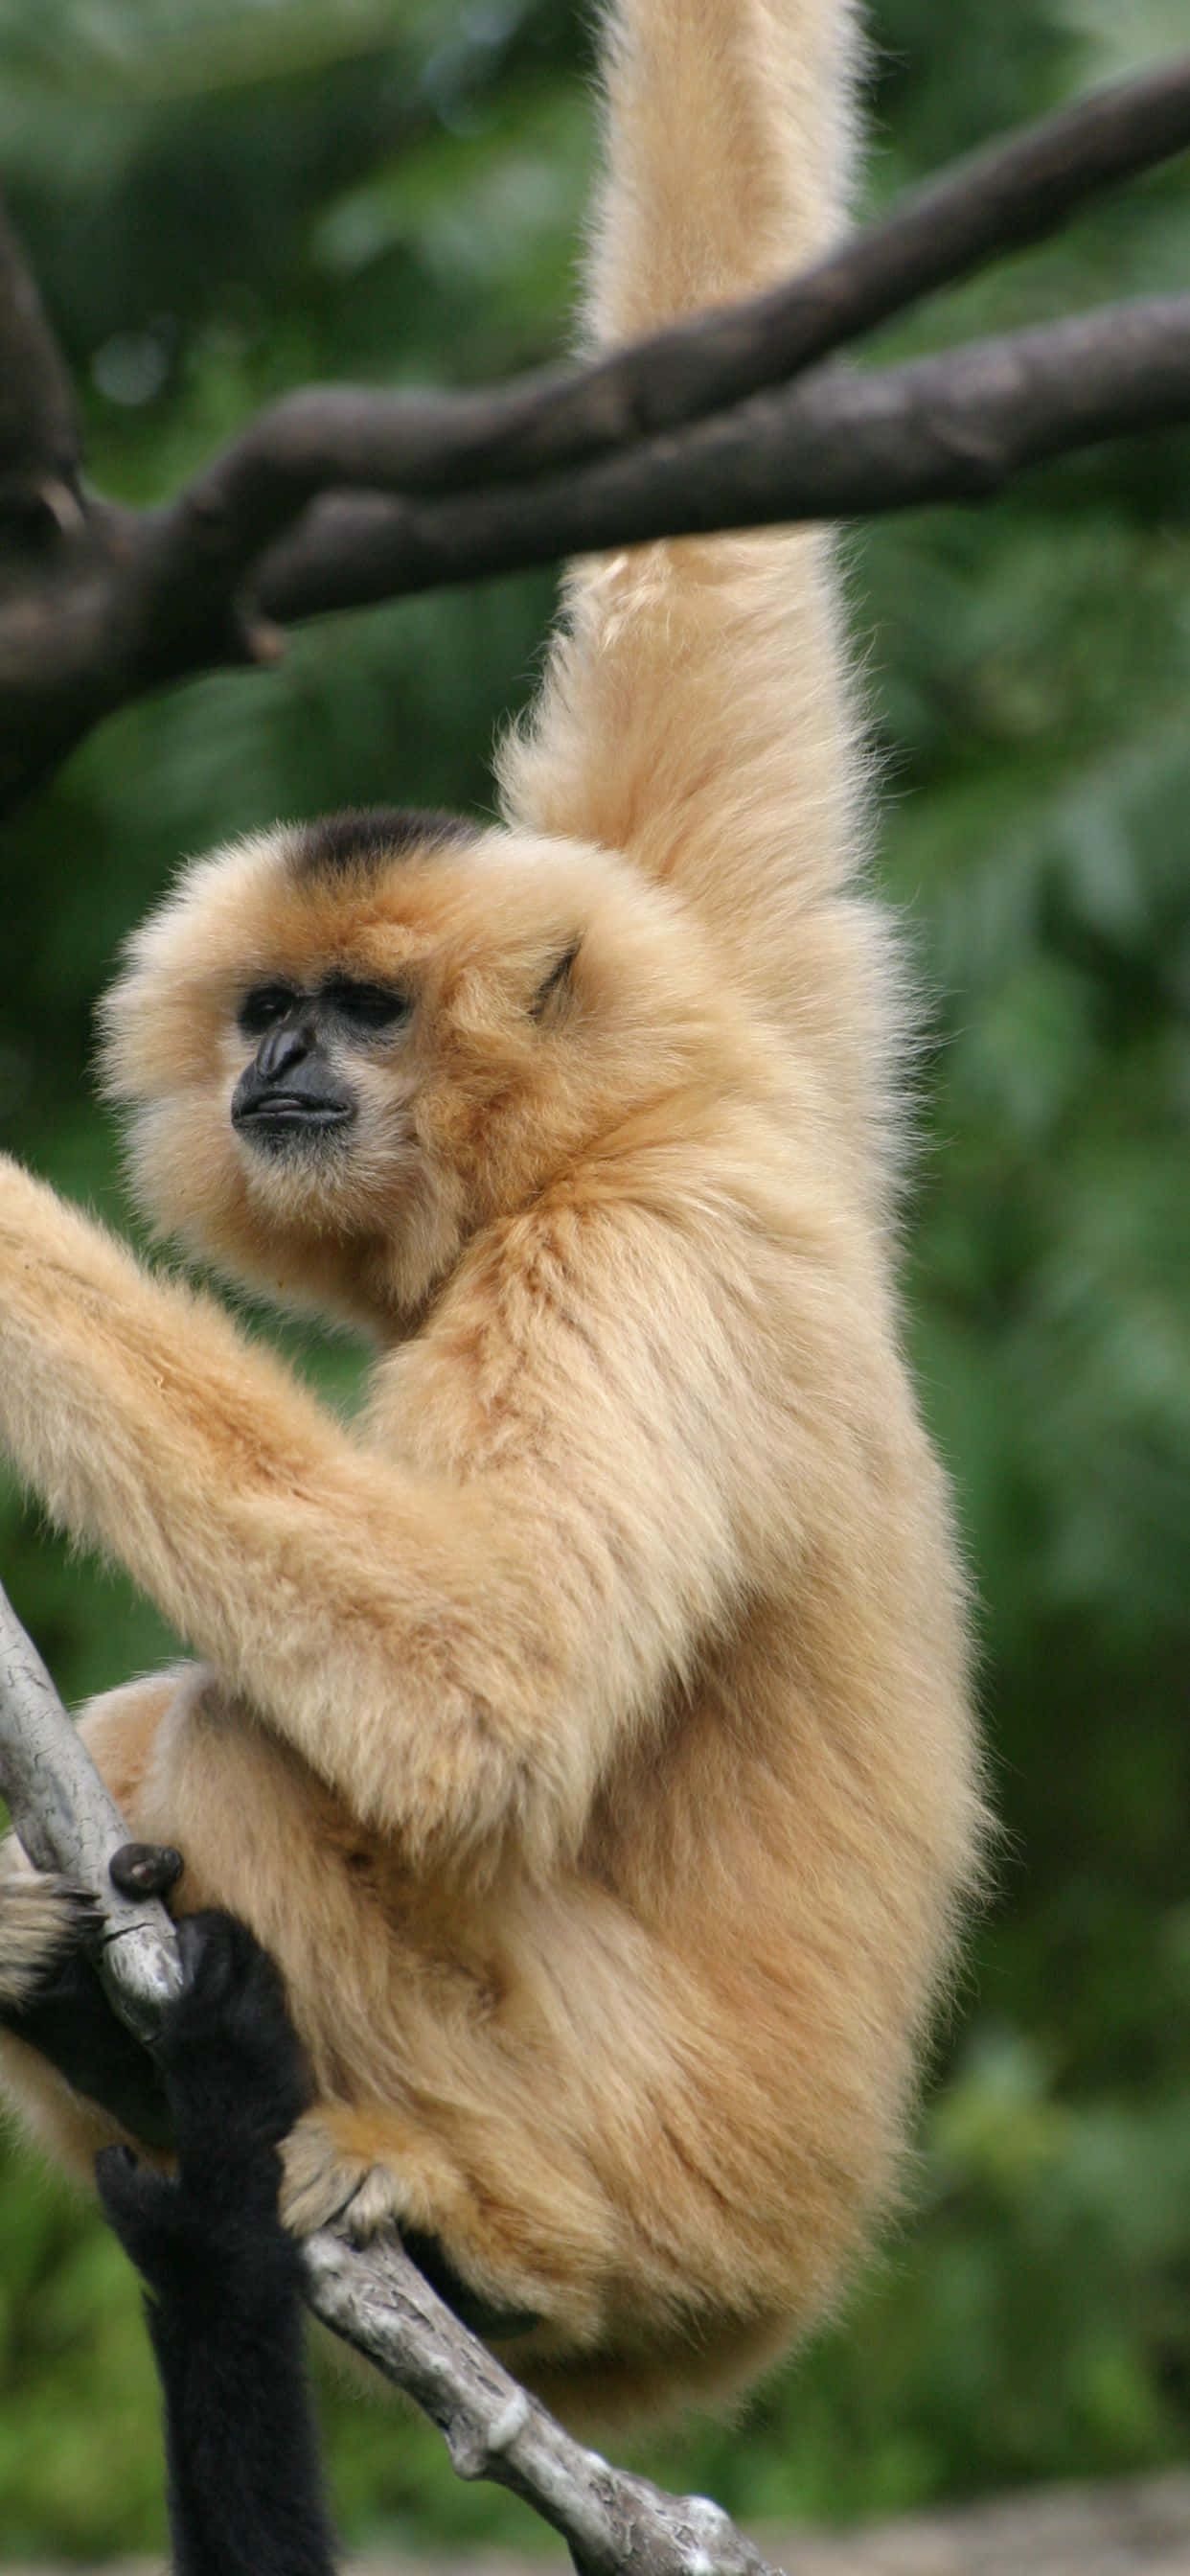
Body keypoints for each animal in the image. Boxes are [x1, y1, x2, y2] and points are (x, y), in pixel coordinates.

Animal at [0, 0, 984, 2423]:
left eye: (359, 1007)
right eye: (268, 1003)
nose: (275, 1068)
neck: (599, 1140)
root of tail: (794, 2257)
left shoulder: (634, 1260)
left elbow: (479, 1682)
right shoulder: (742, 1001)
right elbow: (710, 517)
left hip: (653, 2142)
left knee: (231, 1724)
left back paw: (490, 2235)